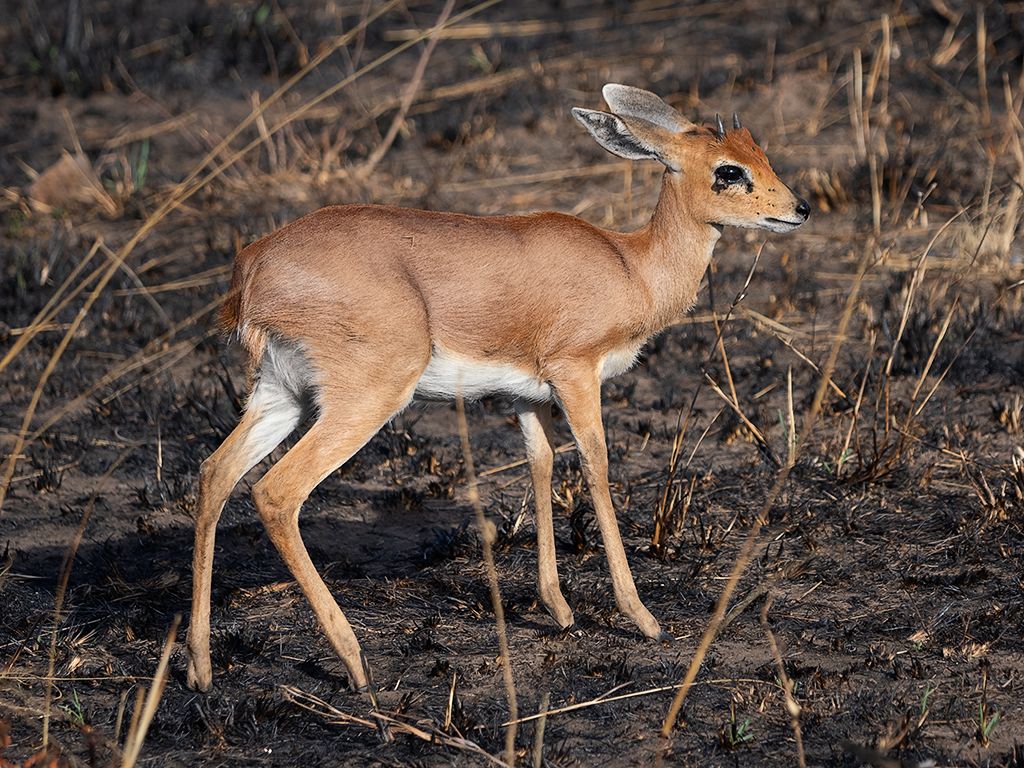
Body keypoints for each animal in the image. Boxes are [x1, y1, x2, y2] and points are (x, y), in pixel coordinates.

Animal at [186, 84, 810, 692]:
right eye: (728, 169)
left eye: (760, 152)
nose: (798, 208)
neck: (631, 266)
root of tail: (253, 269)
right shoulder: (575, 375)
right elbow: (597, 463)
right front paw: (643, 618)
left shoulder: (528, 397)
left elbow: (541, 464)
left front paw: (558, 609)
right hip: (366, 399)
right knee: (275, 493)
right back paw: (355, 662)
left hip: (281, 396)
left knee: (215, 473)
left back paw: (201, 668)